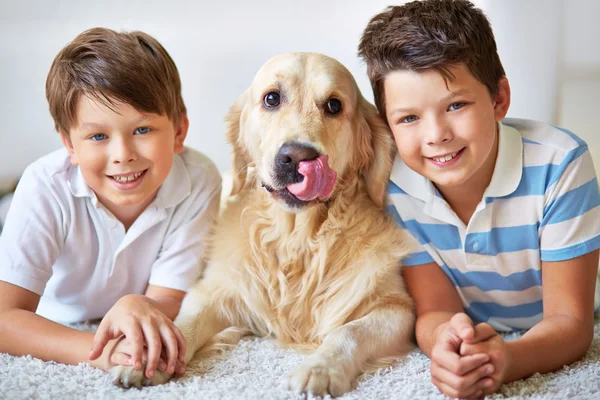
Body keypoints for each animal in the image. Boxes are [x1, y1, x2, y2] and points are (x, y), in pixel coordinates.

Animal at [110, 53, 414, 396]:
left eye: (334, 105)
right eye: (272, 99)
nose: (296, 157)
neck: (297, 240)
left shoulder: (397, 308)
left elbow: (348, 332)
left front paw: (320, 368)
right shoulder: (216, 289)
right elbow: (185, 323)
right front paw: (155, 354)